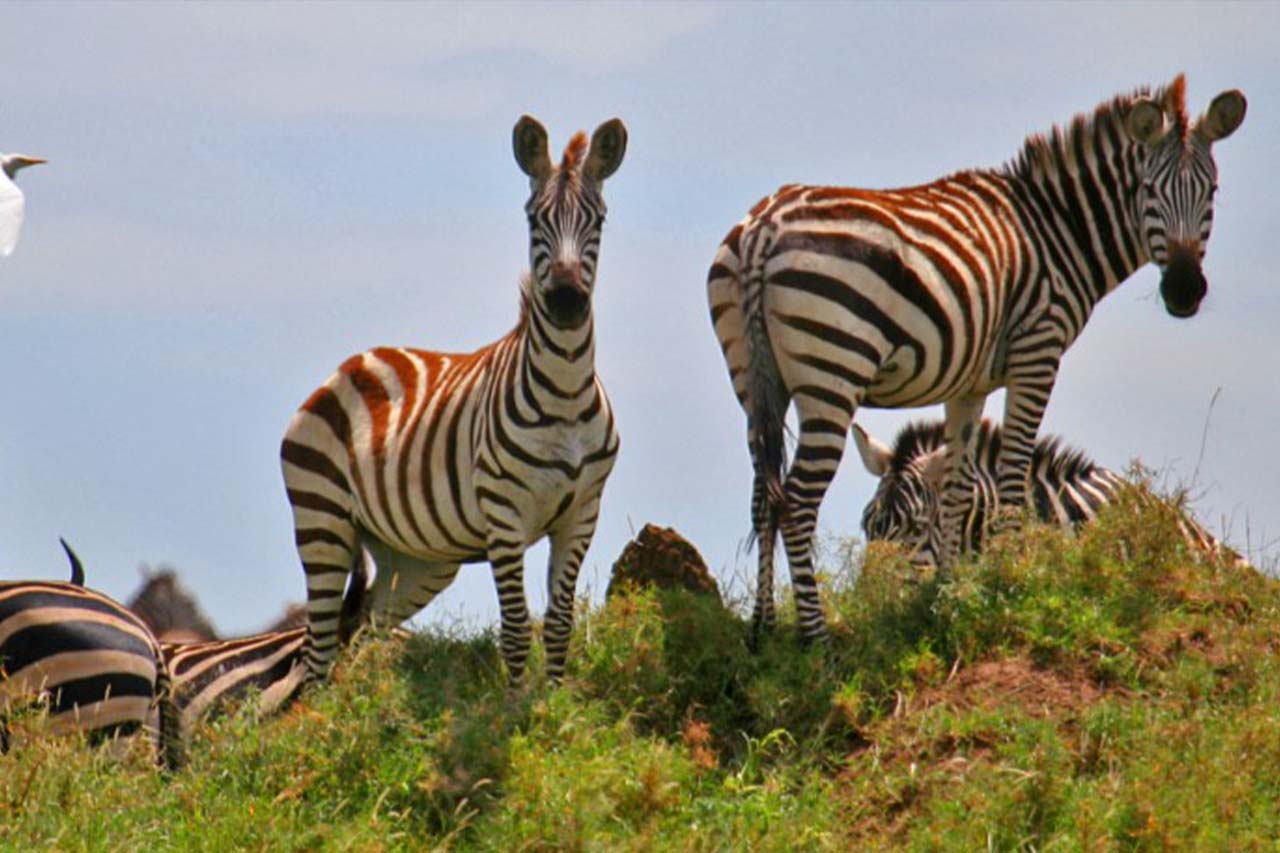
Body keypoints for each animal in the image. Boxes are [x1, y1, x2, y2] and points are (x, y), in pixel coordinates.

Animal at [288, 114, 632, 686]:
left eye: (598, 221)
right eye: (534, 221)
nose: (565, 303)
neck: (564, 392)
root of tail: (353, 362)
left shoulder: (583, 513)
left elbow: (559, 624)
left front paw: (556, 698)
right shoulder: (505, 515)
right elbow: (515, 629)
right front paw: (517, 704)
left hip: (414, 559)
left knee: (359, 631)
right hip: (322, 521)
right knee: (316, 654)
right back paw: (318, 712)